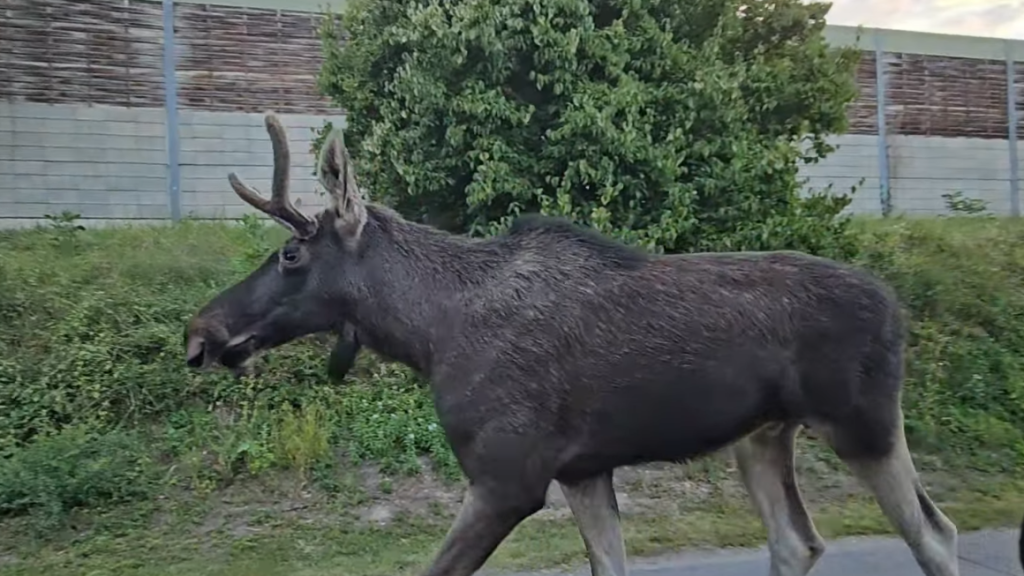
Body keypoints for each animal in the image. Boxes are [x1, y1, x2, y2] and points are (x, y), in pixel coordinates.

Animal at [184, 111, 960, 576]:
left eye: (290, 254)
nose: (200, 334)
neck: (428, 333)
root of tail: (899, 306)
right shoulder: (583, 471)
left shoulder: (508, 478)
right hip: (762, 436)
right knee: (798, 540)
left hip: (863, 421)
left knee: (935, 533)